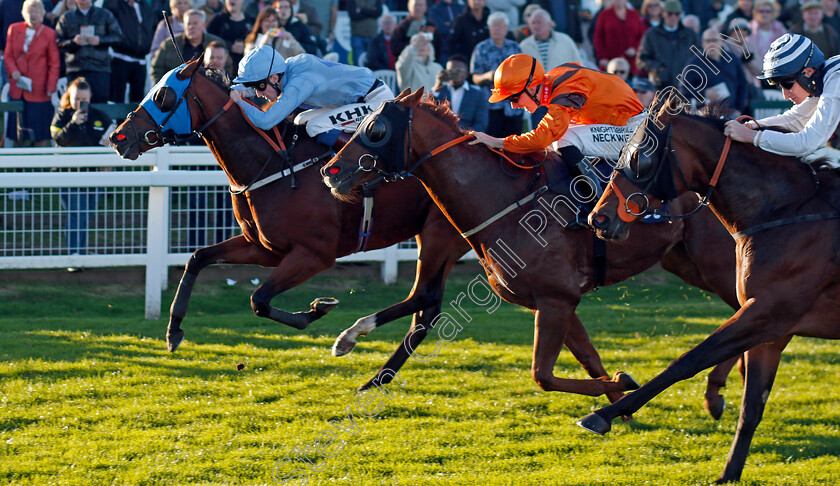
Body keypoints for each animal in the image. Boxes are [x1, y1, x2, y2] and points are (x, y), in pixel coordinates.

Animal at [108, 59, 648, 398]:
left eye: (164, 94)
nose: (118, 136)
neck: (271, 161)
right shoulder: (264, 247)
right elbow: (199, 258)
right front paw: (174, 332)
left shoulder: (312, 253)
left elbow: (259, 299)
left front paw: (318, 310)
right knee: (426, 307)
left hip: (438, 235)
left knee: (426, 301)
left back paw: (356, 345)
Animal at [320, 88, 740, 406]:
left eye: (375, 128)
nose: (330, 171)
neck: (506, 200)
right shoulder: (555, 301)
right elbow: (588, 358)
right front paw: (619, 400)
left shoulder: (556, 299)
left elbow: (543, 375)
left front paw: (622, 387)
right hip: (687, 263)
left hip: (718, 265)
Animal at [588, 96, 840, 482]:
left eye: (638, 156)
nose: (598, 219)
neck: (784, 212)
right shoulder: (771, 330)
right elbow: (751, 406)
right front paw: (729, 474)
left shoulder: (767, 313)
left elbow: (687, 361)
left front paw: (605, 414)